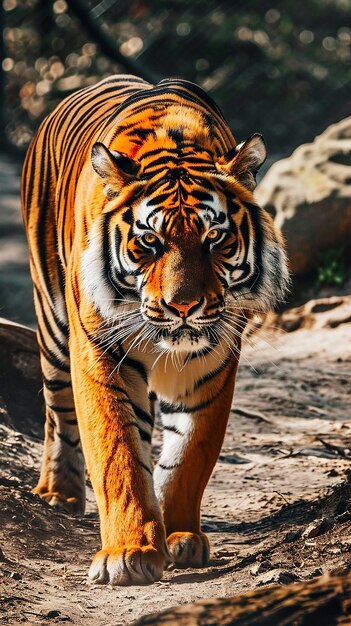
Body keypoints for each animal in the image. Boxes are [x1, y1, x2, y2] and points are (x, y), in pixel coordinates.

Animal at [21, 74, 288, 584]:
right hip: (52, 325)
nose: (182, 305)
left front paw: (180, 536)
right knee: (56, 410)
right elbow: (117, 451)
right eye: (150, 240)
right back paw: (58, 492)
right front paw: (129, 552)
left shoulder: (213, 365)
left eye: (215, 238)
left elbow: (190, 455)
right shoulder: (100, 352)